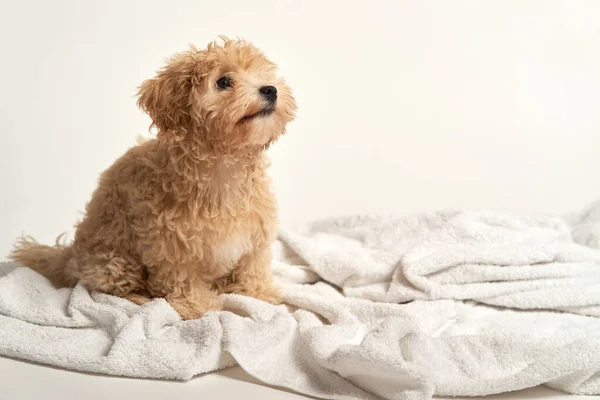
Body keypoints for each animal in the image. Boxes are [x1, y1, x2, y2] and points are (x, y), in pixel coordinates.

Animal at [10, 36, 296, 318]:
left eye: (263, 73)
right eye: (223, 82)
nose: (270, 89)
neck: (223, 167)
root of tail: (68, 253)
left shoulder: (256, 231)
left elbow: (252, 265)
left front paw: (260, 293)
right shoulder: (171, 243)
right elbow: (183, 277)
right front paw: (196, 306)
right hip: (114, 262)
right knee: (105, 288)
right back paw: (140, 298)